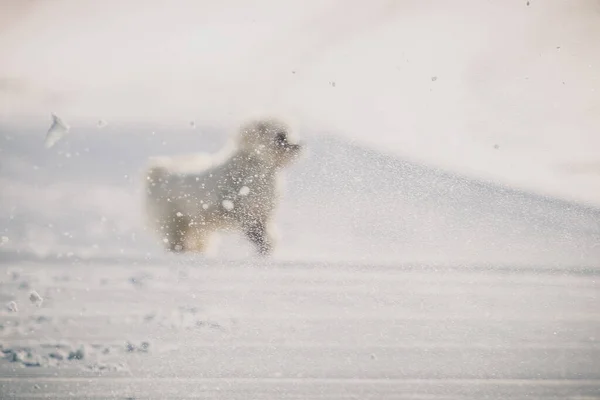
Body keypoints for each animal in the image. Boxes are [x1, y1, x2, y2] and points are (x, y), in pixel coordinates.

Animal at [144, 118, 302, 256]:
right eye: (280, 136)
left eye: (288, 133)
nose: (298, 145)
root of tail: (157, 173)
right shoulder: (245, 213)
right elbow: (258, 236)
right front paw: (265, 250)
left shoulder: (262, 213)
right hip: (172, 220)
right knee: (176, 239)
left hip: (197, 226)